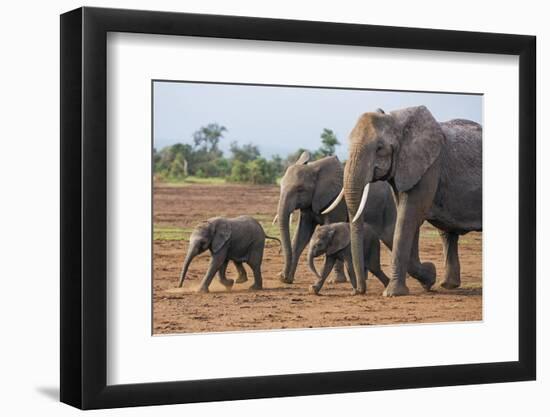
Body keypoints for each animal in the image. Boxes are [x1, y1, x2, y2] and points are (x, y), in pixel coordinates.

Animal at [278, 151, 438, 288]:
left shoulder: (336, 201)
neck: (315, 167)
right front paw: (285, 279)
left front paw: (336, 281)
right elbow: (301, 236)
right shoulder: (310, 204)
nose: (283, 276)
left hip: (392, 208)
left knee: (392, 237)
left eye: (300, 189)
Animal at [332, 106, 484, 296]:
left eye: (379, 148)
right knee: (447, 234)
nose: (357, 291)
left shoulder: (429, 166)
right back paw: (448, 285)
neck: (396, 121)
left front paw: (392, 293)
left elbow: (408, 217)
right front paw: (429, 276)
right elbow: (407, 218)